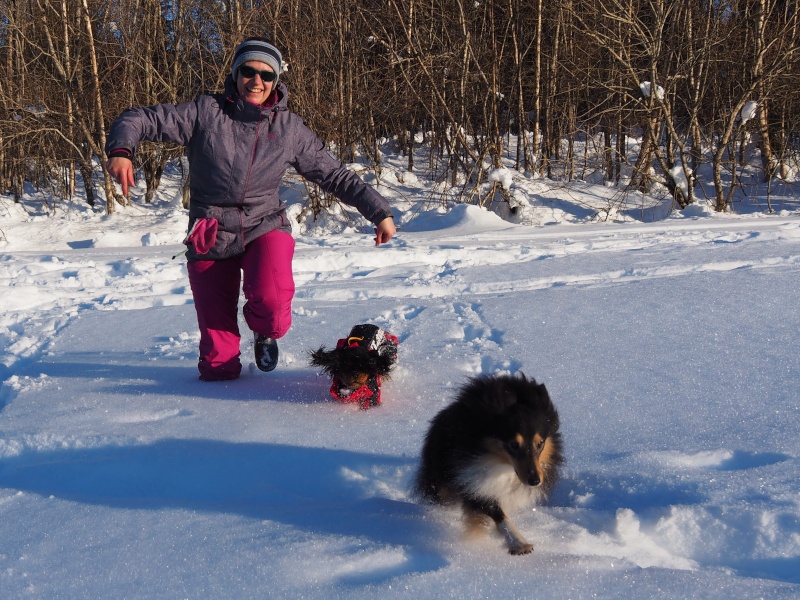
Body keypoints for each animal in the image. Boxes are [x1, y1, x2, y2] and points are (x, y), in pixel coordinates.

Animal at [418, 372, 564, 556]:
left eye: (540, 443)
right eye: (513, 444)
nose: (535, 481)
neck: (502, 465)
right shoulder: (470, 481)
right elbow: (497, 513)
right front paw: (519, 543)